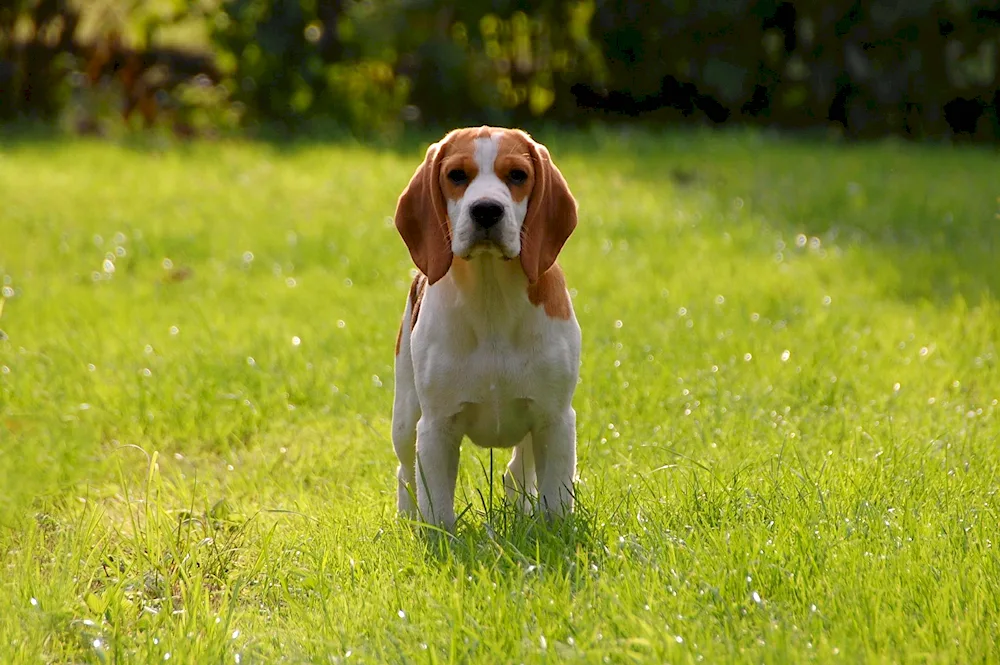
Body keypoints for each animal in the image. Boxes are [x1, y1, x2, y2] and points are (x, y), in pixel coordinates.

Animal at [388, 126, 580, 528]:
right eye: (457, 175)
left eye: (518, 176)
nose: (487, 209)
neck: (492, 296)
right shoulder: (436, 427)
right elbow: (437, 507)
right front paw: (437, 536)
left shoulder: (555, 419)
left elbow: (555, 499)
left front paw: (553, 532)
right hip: (405, 419)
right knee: (405, 472)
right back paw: (407, 520)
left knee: (516, 471)